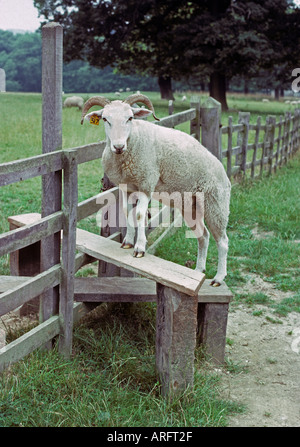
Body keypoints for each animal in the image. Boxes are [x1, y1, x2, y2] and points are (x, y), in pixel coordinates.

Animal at [79, 93, 230, 288]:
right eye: (105, 119)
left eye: (130, 118)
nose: (118, 147)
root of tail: (223, 170)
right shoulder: (127, 187)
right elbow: (127, 212)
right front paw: (128, 242)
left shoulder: (146, 183)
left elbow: (139, 215)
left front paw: (139, 248)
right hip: (191, 206)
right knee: (203, 236)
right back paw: (198, 271)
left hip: (216, 205)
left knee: (223, 241)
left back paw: (218, 278)